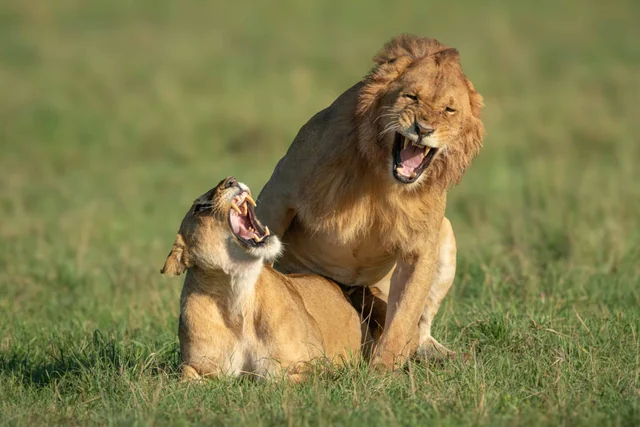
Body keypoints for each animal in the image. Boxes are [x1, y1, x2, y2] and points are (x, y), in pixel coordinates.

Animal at [161, 176, 361, 382]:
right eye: (199, 207)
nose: (230, 180)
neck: (237, 292)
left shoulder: (317, 364)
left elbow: (277, 379)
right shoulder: (197, 366)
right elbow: (186, 374)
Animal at [256, 34, 485, 369]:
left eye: (449, 109)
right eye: (411, 96)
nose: (424, 129)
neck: (384, 180)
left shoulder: (420, 245)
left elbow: (405, 315)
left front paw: (383, 370)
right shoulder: (278, 193)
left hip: (446, 235)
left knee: (421, 325)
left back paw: (442, 354)